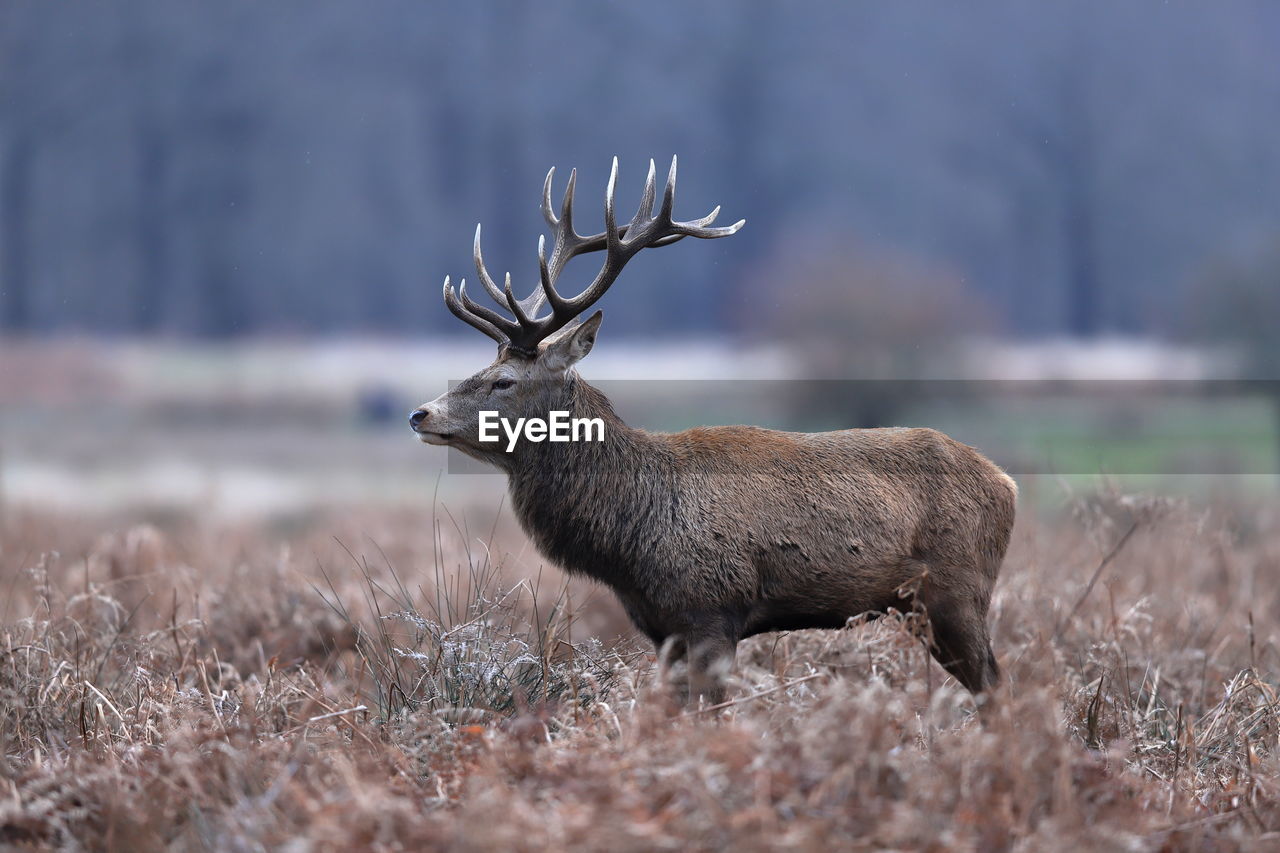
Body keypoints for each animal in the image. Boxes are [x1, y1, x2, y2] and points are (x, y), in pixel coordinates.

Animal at [412, 156, 1018, 701]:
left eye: (504, 381)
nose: (421, 413)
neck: (629, 537)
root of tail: (1007, 483)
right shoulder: (661, 627)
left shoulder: (711, 609)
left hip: (956, 591)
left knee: (997, 686)